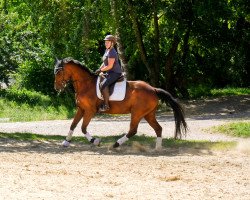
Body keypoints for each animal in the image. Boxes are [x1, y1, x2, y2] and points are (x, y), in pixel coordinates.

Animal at [54, 57, 188, 148]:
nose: (57, 88)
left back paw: (116, 144)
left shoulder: (90, 110)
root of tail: (153, 89)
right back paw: (157, 148)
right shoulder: (81, 109)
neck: (85, 84)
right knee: (158, 128)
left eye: (59, 72)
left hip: (137, 113)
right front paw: (66, 142)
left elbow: (83, 127)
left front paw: (96, 141)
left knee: (133, 130)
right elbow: (73, 125)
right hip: (148, 114)